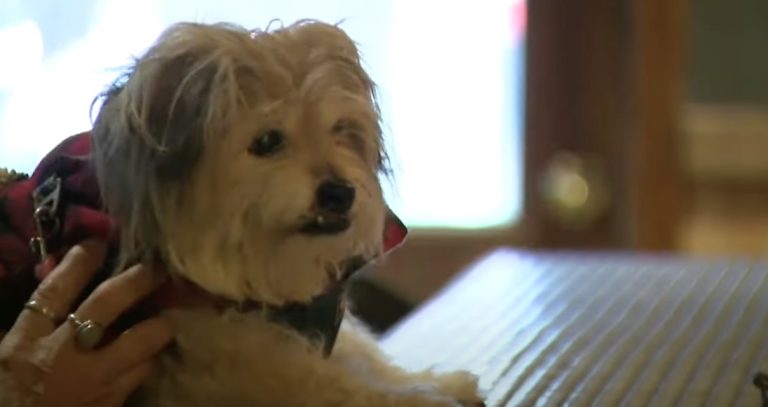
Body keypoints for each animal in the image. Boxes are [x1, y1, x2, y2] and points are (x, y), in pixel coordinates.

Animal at [90, 19, 484, 407]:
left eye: (341, 129)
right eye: (267, 141)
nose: (340, 193)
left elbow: (361, 356)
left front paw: (436, 383)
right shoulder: (225, 360)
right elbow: (330, 385)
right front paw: (419, 396)